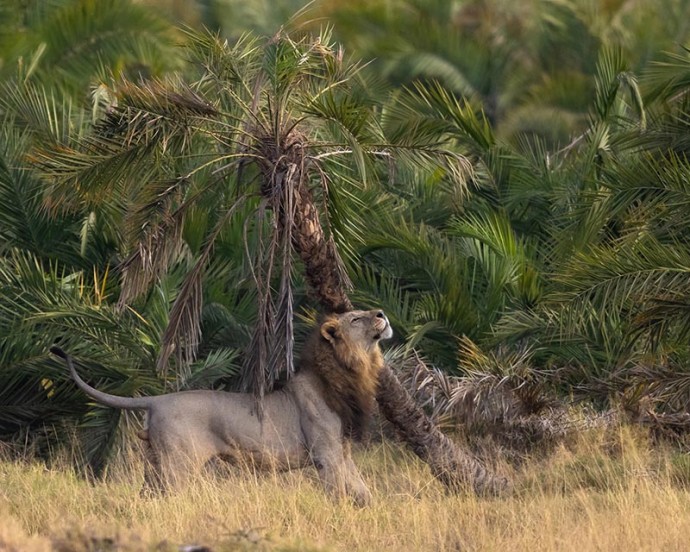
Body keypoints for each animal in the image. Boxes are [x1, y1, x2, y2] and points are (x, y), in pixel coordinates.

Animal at [49, 308, 392, 506]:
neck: (353, 371)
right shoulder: (326, 454)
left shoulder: (342, 452)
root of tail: (156, 399)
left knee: (146, 498)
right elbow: (340, 494)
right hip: (178, 464)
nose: (381, 312)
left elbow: (364, 492)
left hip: (155, 463)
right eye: (356, 318)